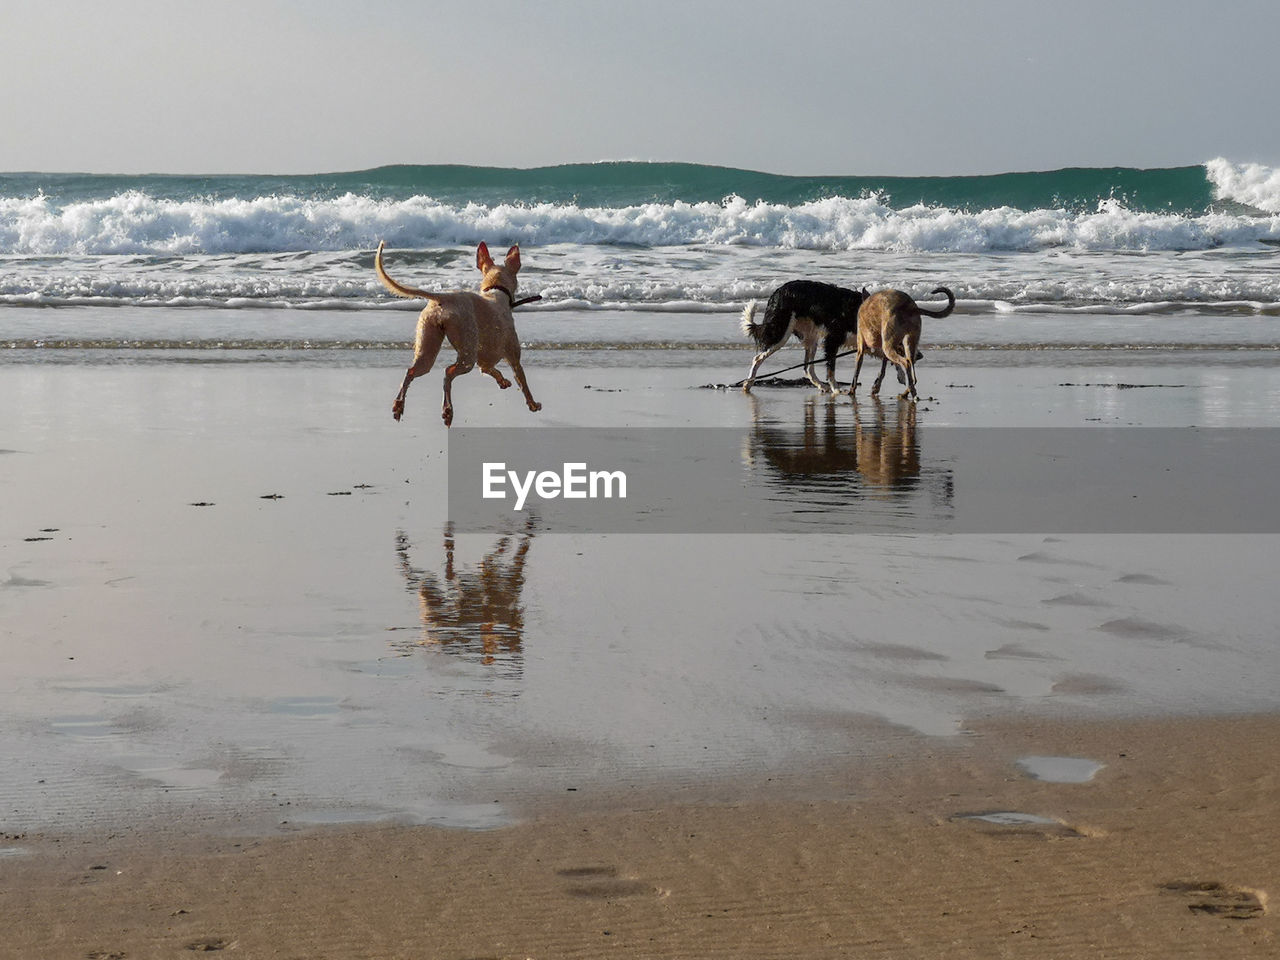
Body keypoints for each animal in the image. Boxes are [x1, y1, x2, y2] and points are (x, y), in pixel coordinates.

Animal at [371, 244, 540, 427]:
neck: (496, 292)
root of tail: (445, 297)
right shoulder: (513, 357)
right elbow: (522, 381)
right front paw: (532, 404)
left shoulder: (485, 361)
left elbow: (490, 369)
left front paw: (502, 381)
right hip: (467, 350)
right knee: (448, 373)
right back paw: (447, 410)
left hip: (428, 341)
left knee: (412, 371)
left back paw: (399, 406)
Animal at [742, 280, 870, 391]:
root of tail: (776, 293)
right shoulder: (832, 340)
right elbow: (831, 369)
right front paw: (836, 389)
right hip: (781, 333)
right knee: (757, 358)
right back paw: (748, 384)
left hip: (811, 337)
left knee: (808, 368)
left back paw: (822, 386)